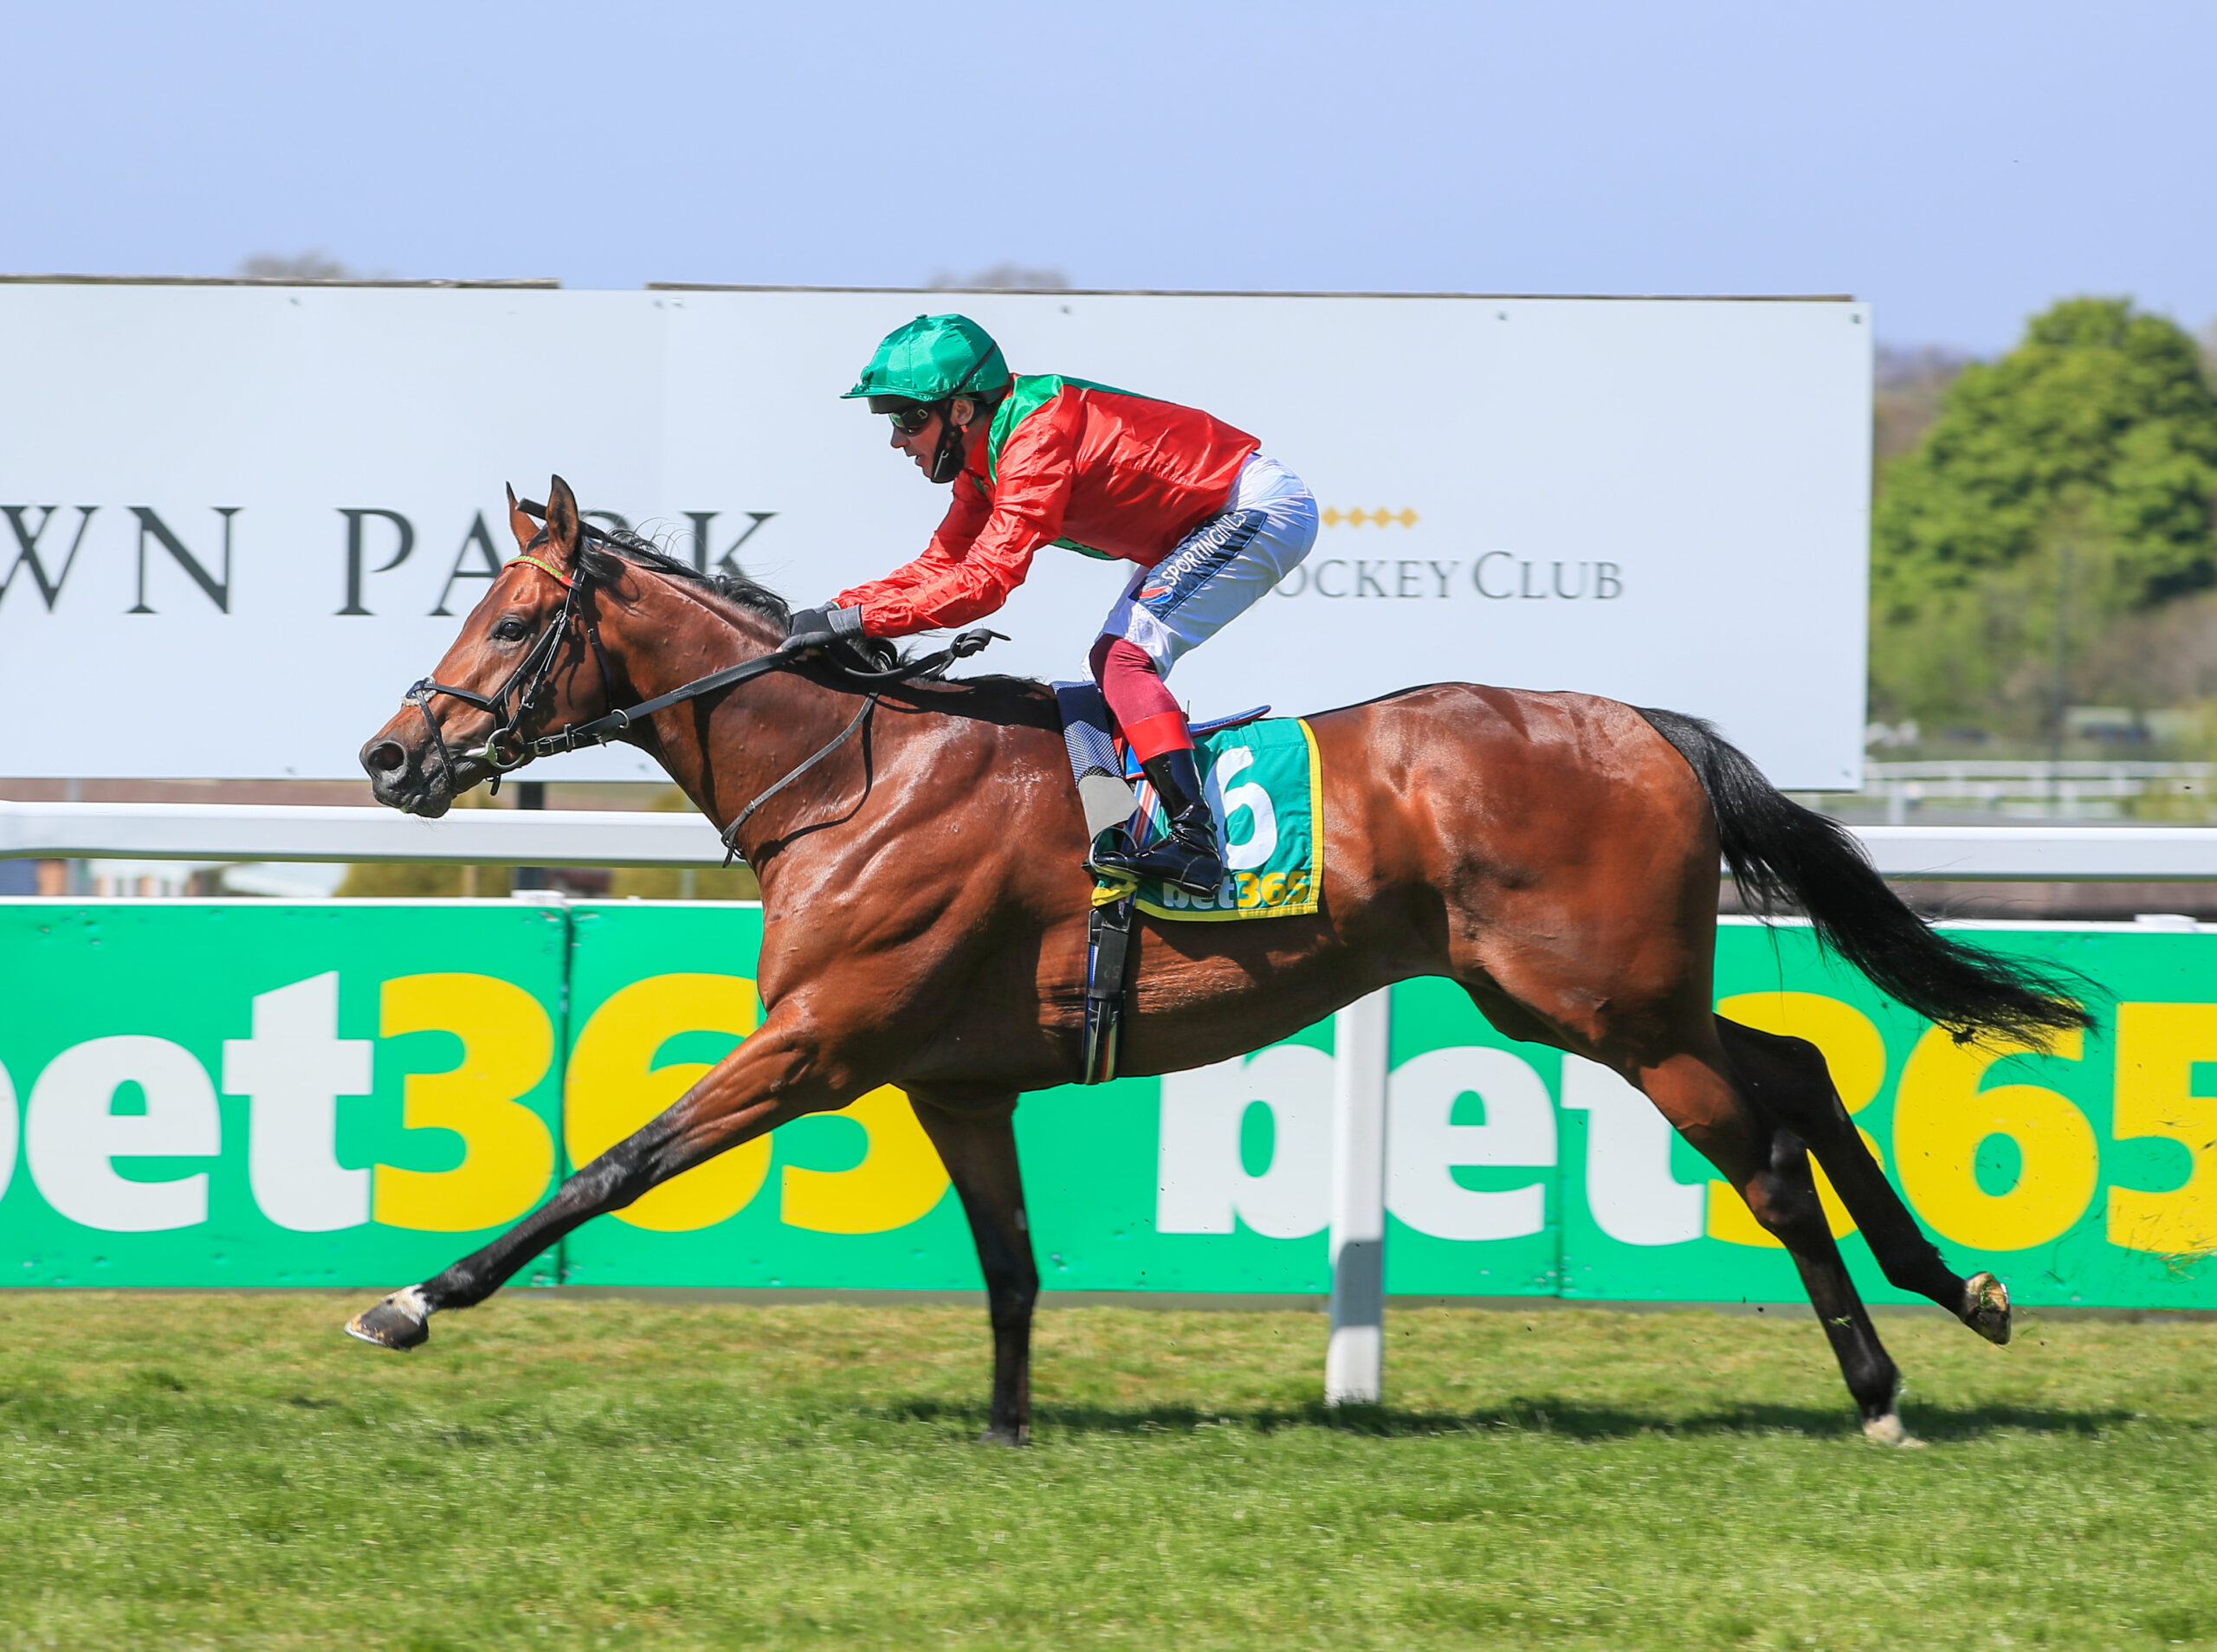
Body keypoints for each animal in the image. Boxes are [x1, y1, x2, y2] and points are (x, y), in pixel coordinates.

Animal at [341, 474, 2075, 1445]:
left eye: (512, 625)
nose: (387, 756)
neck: (858, 771)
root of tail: (1646, 725)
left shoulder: (819, 1046)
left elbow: (612, 1162)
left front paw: (415, 1298)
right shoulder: (956, 1082)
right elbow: (1012, 1265)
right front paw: (1007, 1431)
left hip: (1607, 1006)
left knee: (1769, 1155)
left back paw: (1880, 1391)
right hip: (1597, 991)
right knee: (1805, 1064)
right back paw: (1962, 1288)